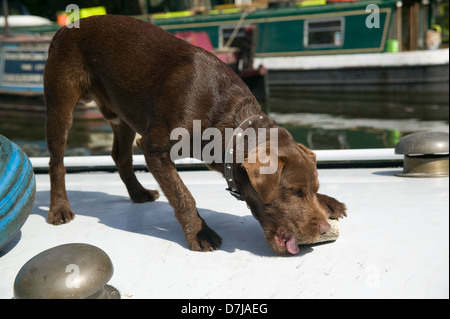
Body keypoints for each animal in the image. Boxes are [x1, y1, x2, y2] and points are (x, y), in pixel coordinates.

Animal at [44, 15, 344, 256]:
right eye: (293, 191)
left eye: (312, 189)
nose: (323, 228)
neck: (226, 120)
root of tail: (64, 28)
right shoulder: (154, 148)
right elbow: (182, 194)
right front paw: (199, 232)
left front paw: (328, 201)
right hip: (61, 101)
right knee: (56, 161)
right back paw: (59, 209)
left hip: (122, 112)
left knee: (120, 155)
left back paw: (138, 192)